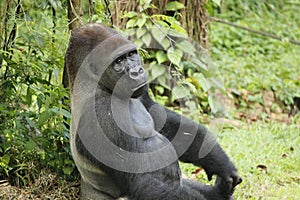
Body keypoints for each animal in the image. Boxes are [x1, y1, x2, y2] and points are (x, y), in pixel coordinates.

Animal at [65, 23, 241, 200]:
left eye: (131, 54)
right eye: (119, 61)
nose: (137, 71)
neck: (93, 83)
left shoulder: (140, 93)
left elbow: (165, 122)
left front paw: (220, 162)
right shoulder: (102, 115)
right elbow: (145, 182)